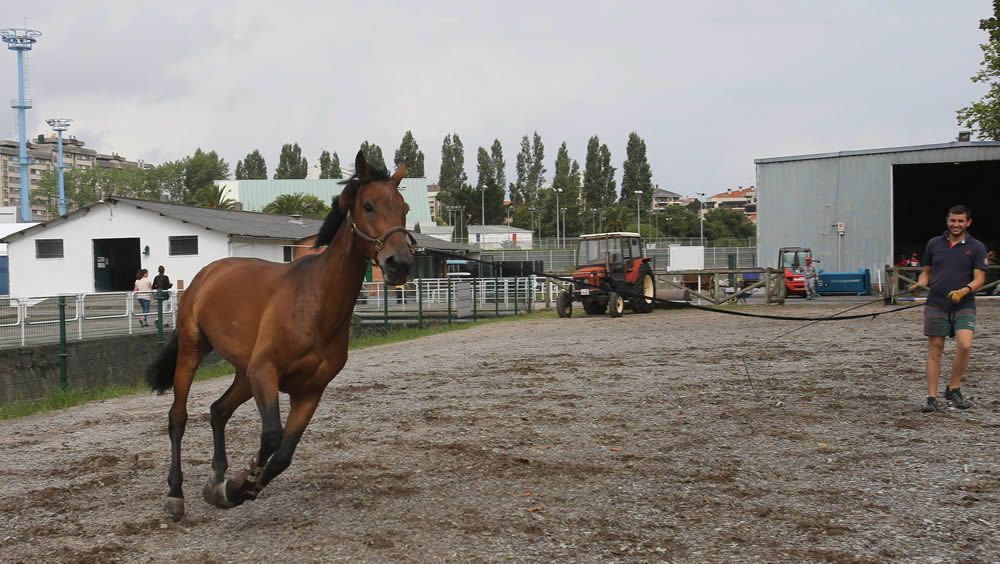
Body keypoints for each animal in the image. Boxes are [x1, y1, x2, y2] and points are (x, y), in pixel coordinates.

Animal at [146, 151, 414, 520]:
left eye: (404, 208)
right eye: (369, 205)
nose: (399, 263)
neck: (315, 304)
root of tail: (208, 272)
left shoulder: (310, 392)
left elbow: (284, 453)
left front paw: (238, 486)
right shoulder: (265, 372)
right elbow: (272, 436)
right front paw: (239, 485)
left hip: (243, 374)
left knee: (218, 410)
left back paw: (217, 476)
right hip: (193, 351)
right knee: (178, 417)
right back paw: (176, 493)